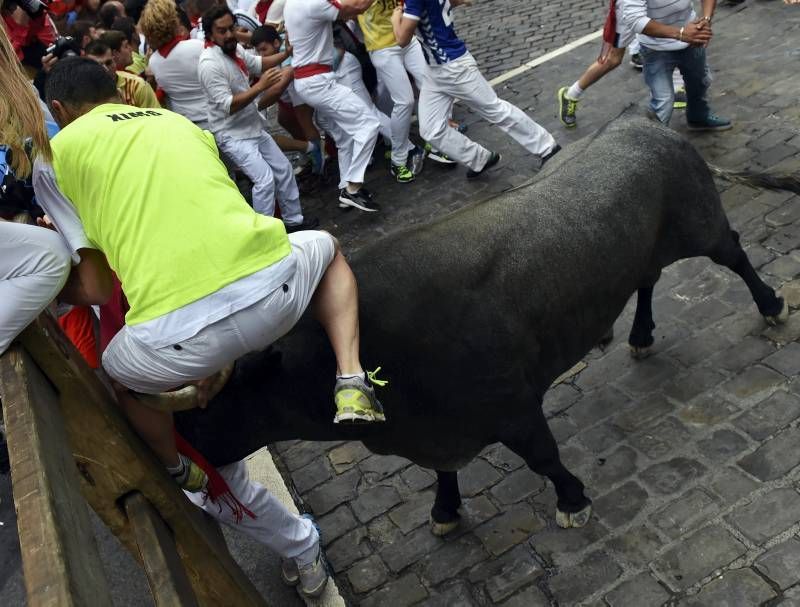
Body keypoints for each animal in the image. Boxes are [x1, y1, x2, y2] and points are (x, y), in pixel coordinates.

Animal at [173, 120, 792, 536]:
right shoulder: (439, 433)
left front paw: (572, 500)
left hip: (701, 224)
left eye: (205, 404)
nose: (175, 457)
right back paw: (638, 335)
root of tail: (641, 123)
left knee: (735, 255)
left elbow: (543, 457)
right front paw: (445, 510)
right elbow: (444, 475)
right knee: (647, 278)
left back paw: (771, 304)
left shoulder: (512, 407)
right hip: (644, 249)